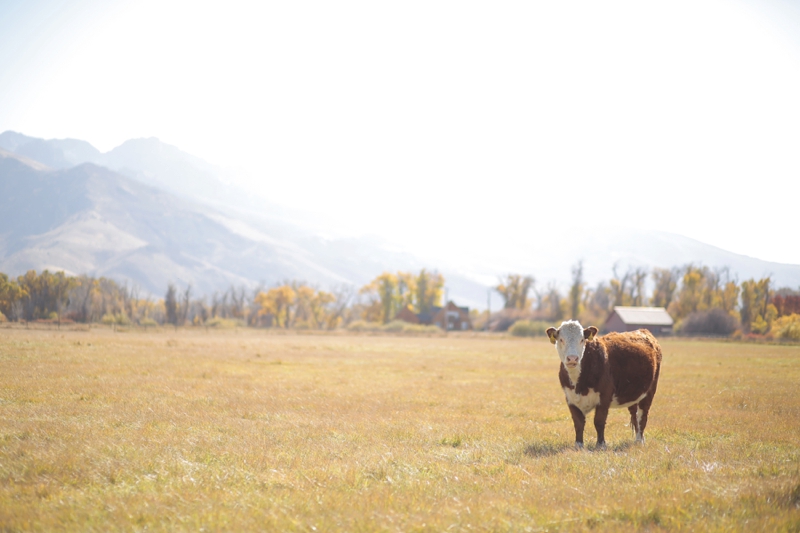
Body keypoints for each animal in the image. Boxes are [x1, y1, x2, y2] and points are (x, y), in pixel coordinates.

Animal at [544, 320, 664, 448]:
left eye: (582, 339)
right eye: (561, 339)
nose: (572, 358)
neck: (578, 385)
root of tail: (643, 331)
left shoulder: (604, 397)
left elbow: (599, 421)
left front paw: (601, 444)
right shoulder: (570, 398)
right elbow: (578, 422)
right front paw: (579, 444)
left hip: (650, 391)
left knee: (642, 416)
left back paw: (639, 441)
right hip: (633, 394)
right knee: (634, 415)